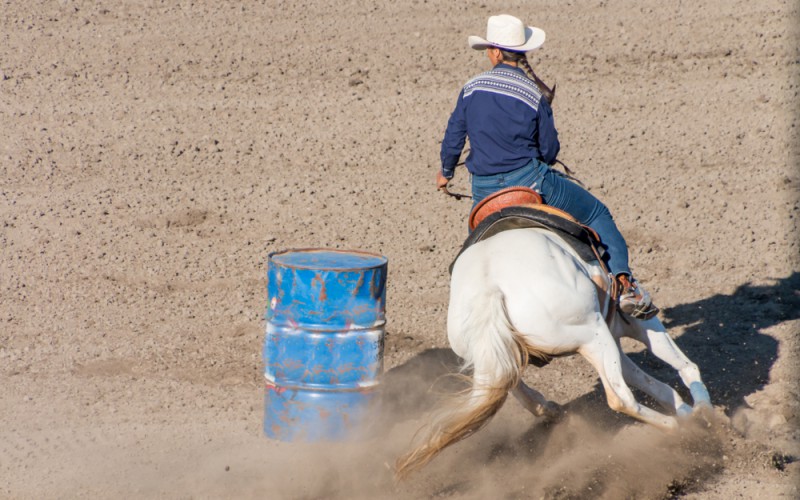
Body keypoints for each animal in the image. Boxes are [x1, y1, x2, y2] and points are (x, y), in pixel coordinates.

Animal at [396, 226, 712, 476]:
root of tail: (490, 288)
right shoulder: (631, 322)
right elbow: (681, 363)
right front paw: (704, 413)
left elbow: (651, 382)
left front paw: (689, 411)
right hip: (594, 336)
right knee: (620, 397)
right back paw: (675, 428)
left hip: (495, 355)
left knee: (513, 389)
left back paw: (549, 409)